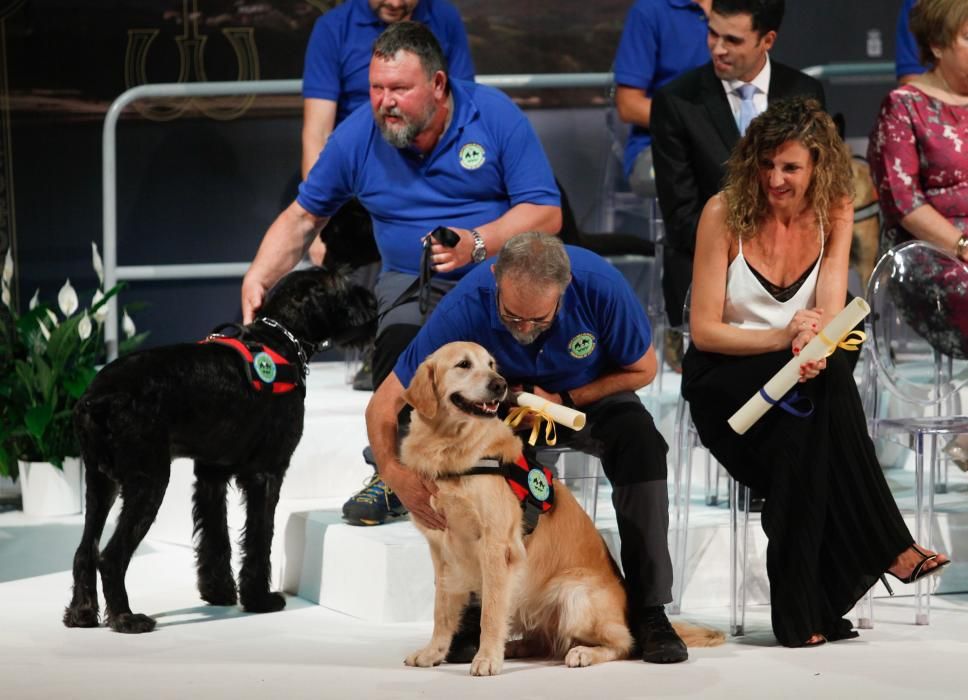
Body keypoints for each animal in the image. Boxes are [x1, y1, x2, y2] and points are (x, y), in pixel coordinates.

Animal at [61, 268, 374, 636]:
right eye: (344, 286)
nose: (372, 301)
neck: (280, 340)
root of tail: (96, 398)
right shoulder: (267, 473)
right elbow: (259, 536)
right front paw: (259, 599)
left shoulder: (211, 473)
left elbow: (215, 536)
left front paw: (219, 592)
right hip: (148, 482)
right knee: (110, 556)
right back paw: (126, 618)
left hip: (101, 483)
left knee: (85, 550)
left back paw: (81, 613)